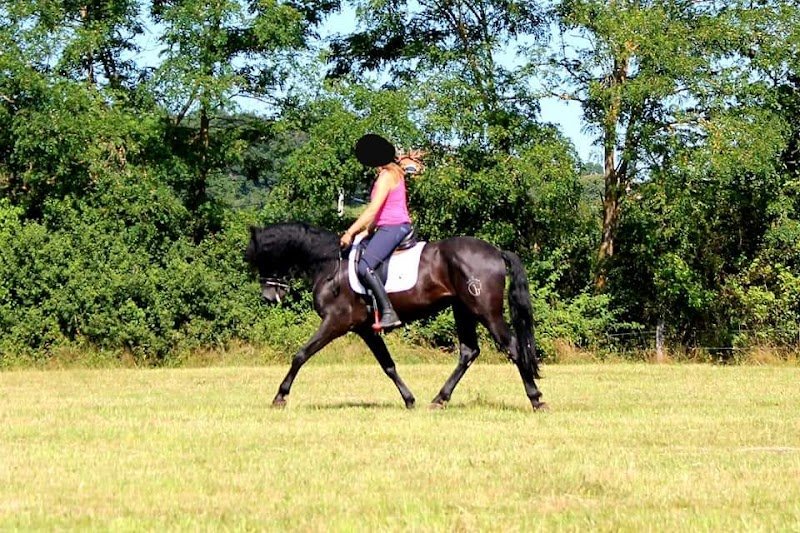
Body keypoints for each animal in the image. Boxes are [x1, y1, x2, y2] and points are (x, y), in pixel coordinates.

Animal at [245, 222, 546, 410]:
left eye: (263, 258)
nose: (268, 296)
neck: (329, 265)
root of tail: (496, 251)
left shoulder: (336, 322)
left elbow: (301, 354)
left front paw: (280, 396)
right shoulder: (366, 329)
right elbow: (388, 365)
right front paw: (409, 399)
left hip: (485, 311)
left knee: (513, 348)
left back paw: (536, 399)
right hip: (462, 310)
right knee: (468, 351)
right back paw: (439, 399)